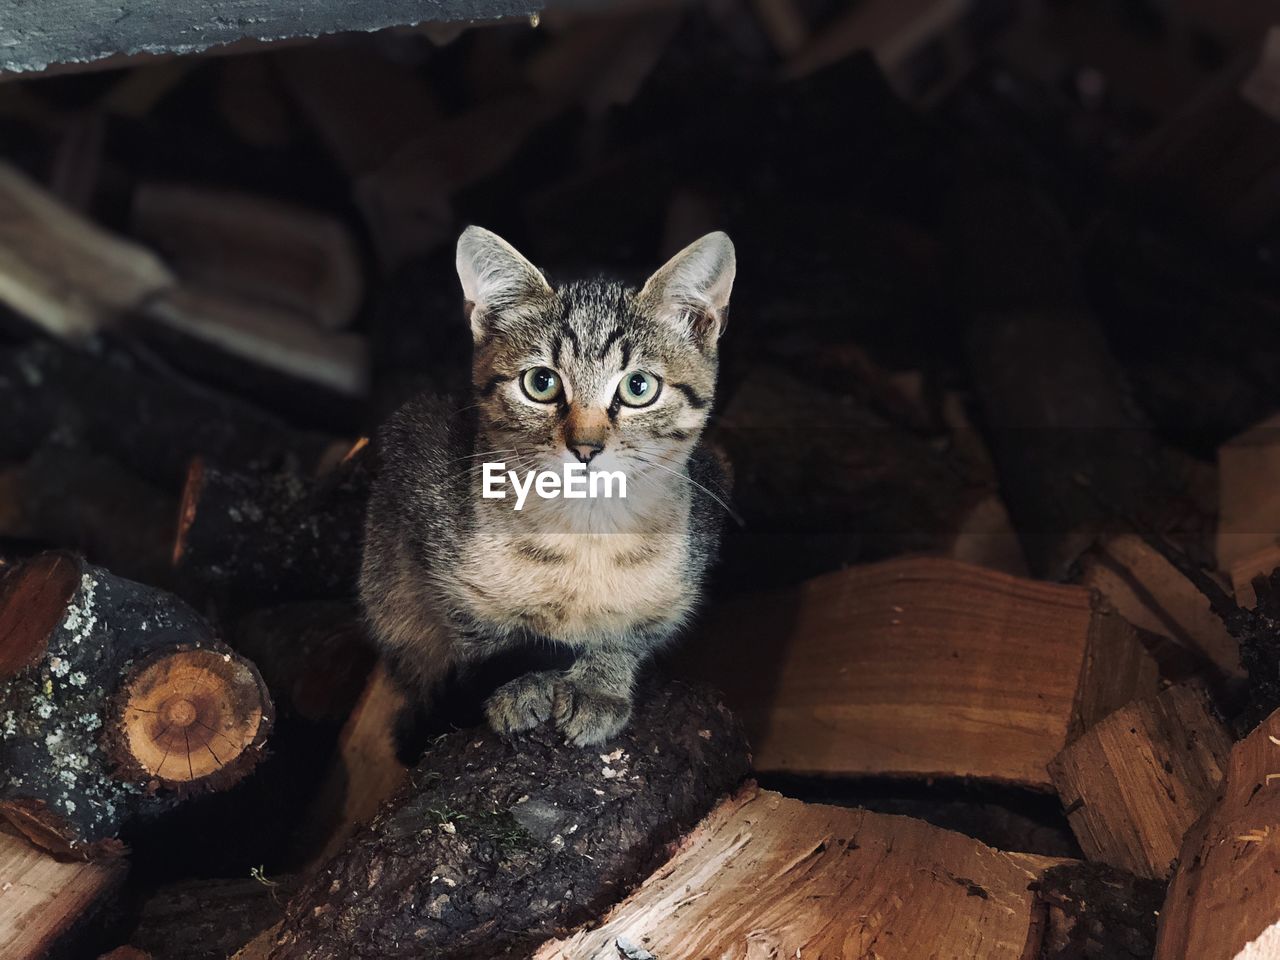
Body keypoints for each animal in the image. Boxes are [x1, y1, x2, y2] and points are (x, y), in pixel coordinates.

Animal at [366, 227, 737, 752]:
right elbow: (484, 633)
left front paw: (599, 683)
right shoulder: (429, 532)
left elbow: (634, 629)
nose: (585, 448)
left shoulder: (691, 554)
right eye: (541, 382)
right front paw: (525, 683)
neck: (585, 531)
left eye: (638, 387)